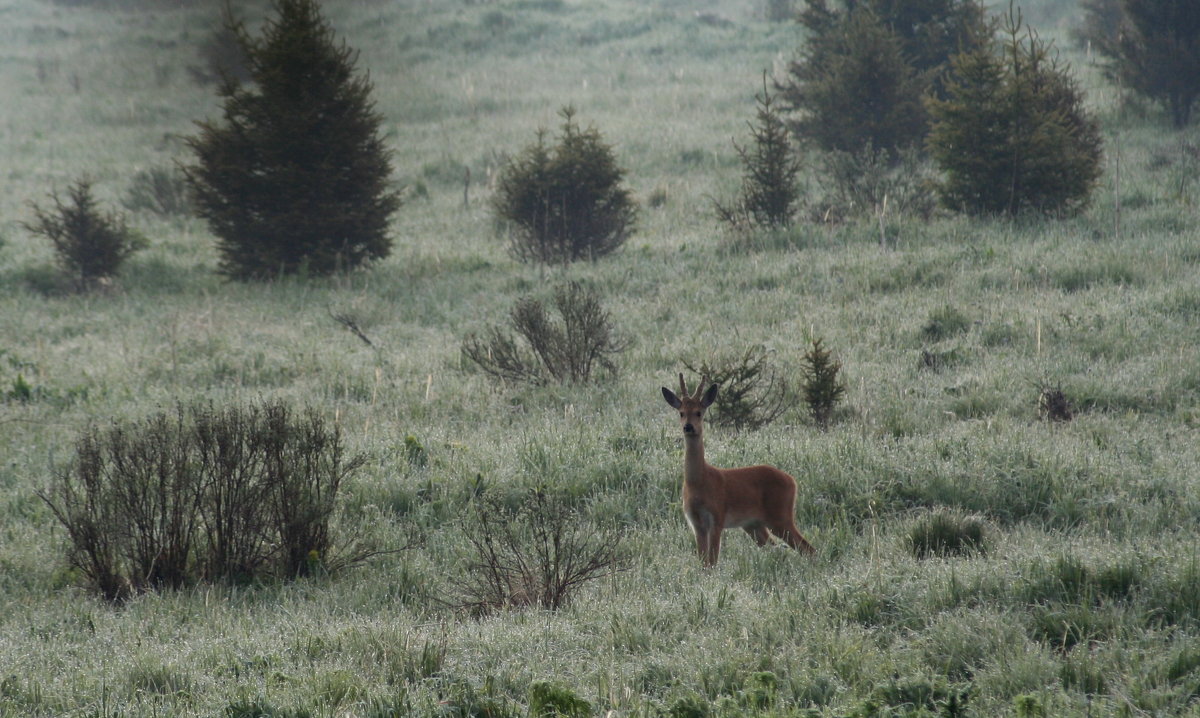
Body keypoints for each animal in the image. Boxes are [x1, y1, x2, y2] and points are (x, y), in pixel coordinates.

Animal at [657, 377, 816, 569]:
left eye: (699, 412)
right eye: (681, 413)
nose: (688, 427)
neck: (698, 482)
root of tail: (792, 480)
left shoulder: (717, 517)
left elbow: (712, 562)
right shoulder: (696, 523)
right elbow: (703, 563)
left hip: (781, 516)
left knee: (808, 548)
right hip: (754, 525)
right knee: (779, 548)